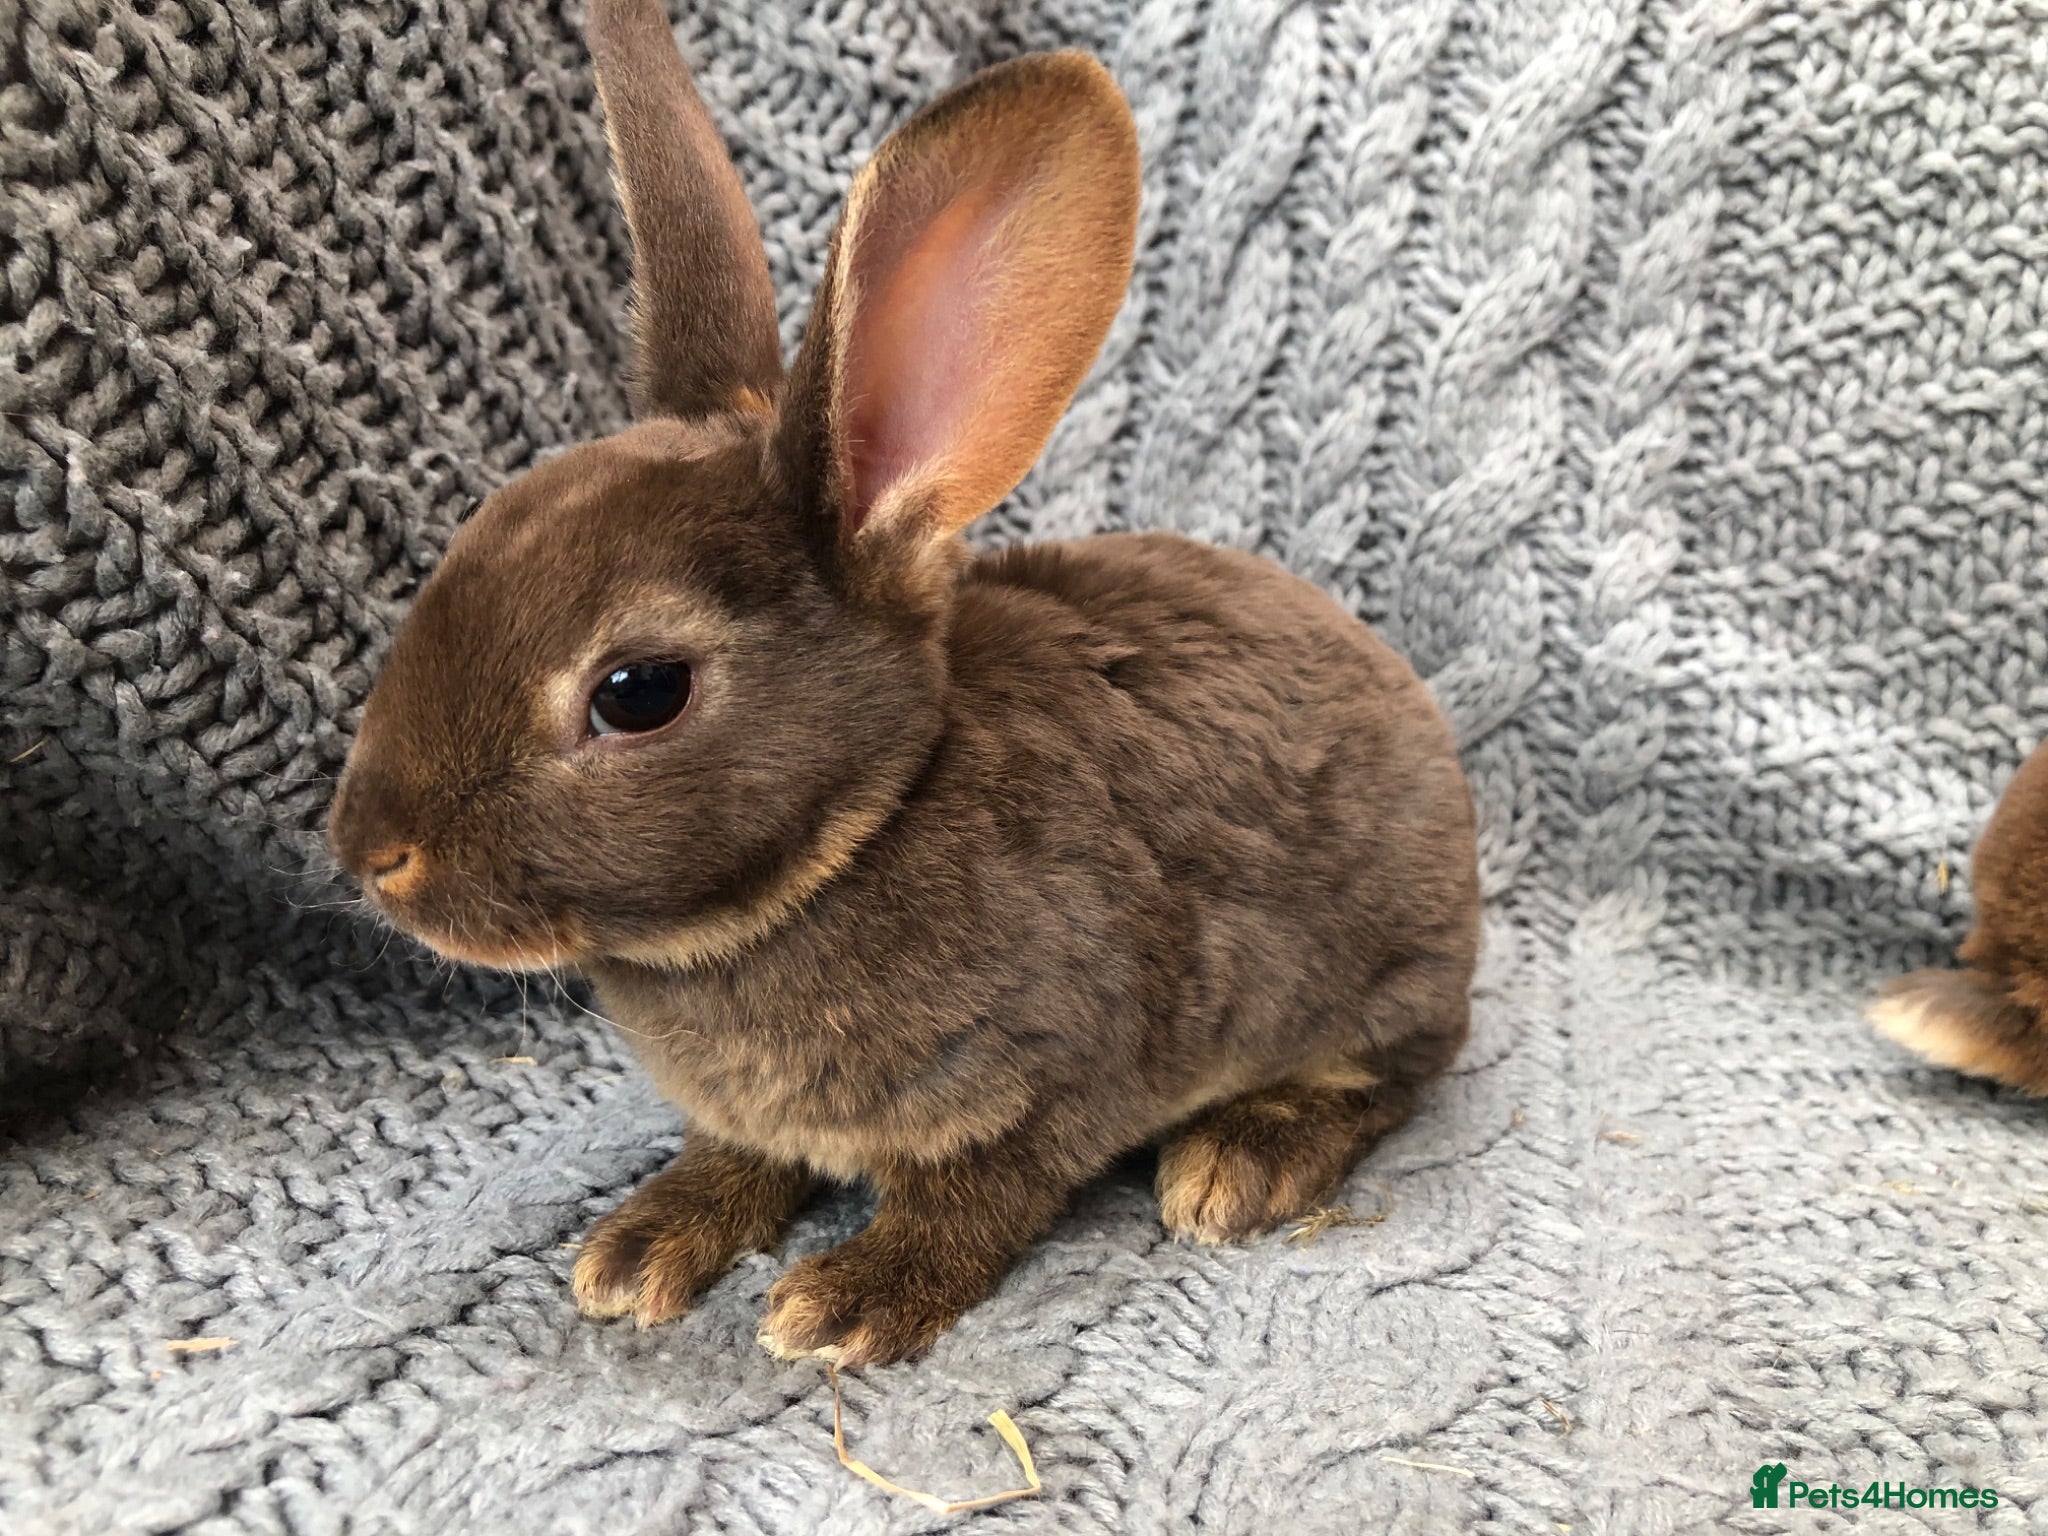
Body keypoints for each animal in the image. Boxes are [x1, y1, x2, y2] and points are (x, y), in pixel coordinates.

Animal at [326, 0, 1481, 1368]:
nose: (369, 854)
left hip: (1370, 979)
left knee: (1392, 1072)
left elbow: (972, 1201)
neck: (860, 832)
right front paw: (643, 1245)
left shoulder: (1049, 1081)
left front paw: (848, 1301)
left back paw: (1239, 1164)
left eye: (637, 692)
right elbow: (736, 1158)